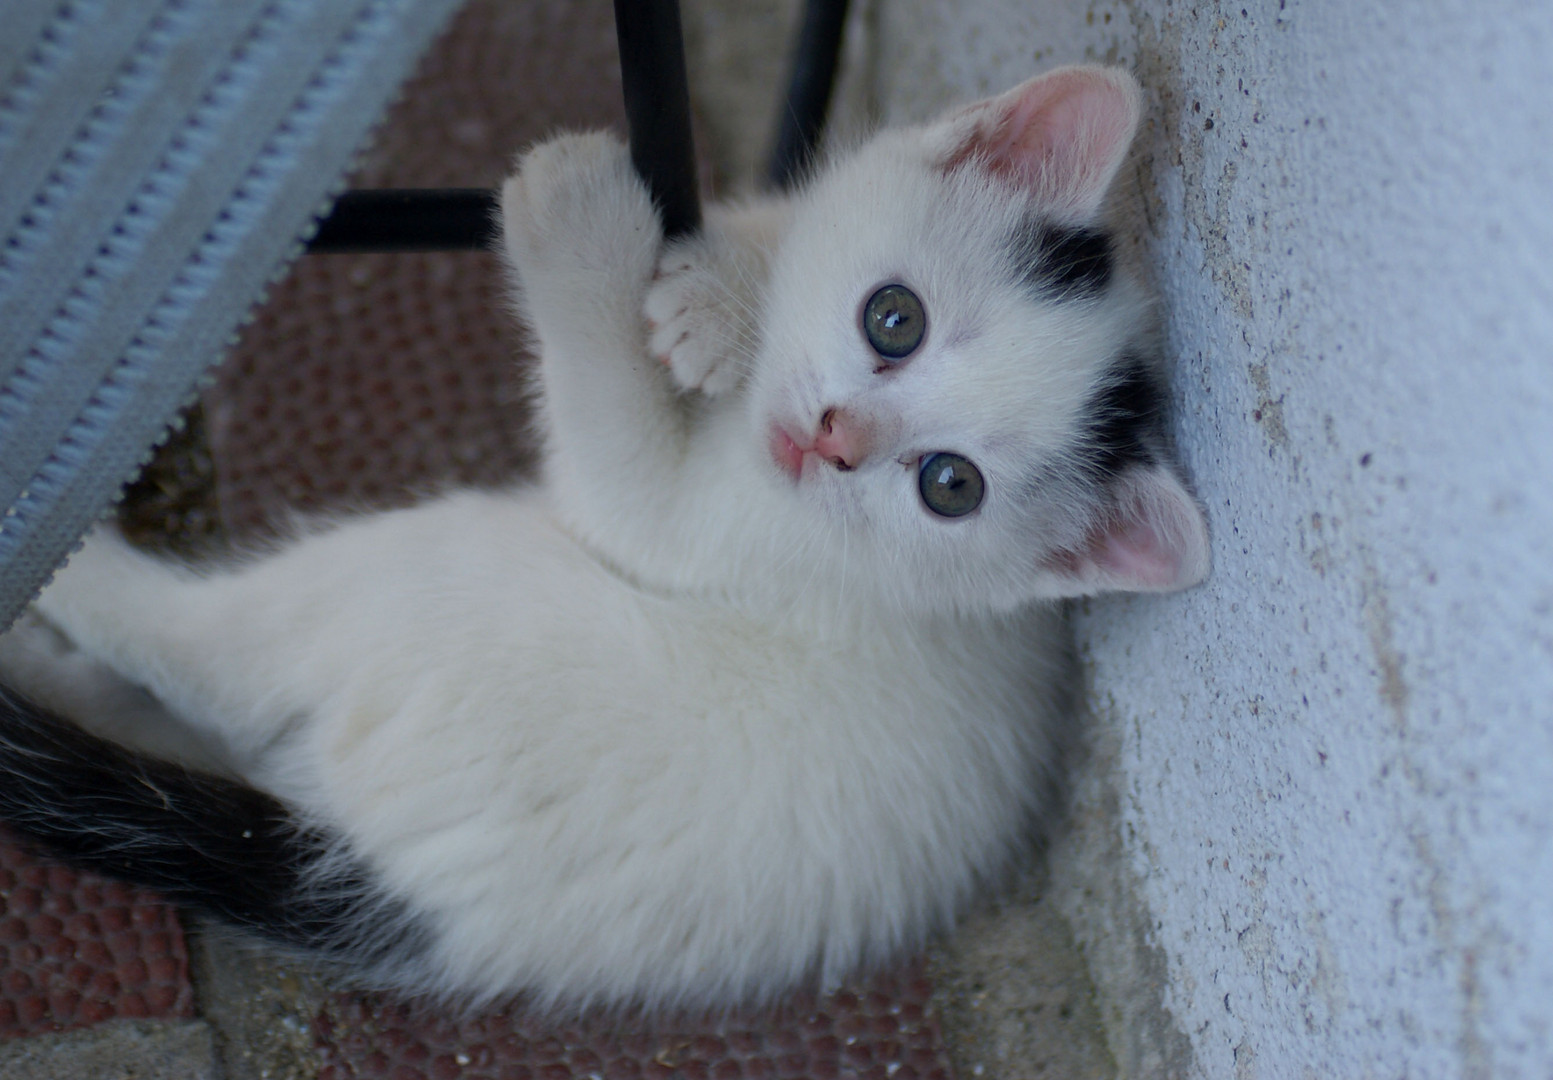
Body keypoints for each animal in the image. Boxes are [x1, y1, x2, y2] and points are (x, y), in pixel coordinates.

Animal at [0, 65, 1211, 1013]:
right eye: (893, 319)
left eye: (948, 487)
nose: (832, 442)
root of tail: (425, 907)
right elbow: (770, 241)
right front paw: (719, 299)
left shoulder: (690, 526)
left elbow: (616, 461)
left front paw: (584, 231)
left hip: (434, 597)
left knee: (213, 661)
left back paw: (65, 598)